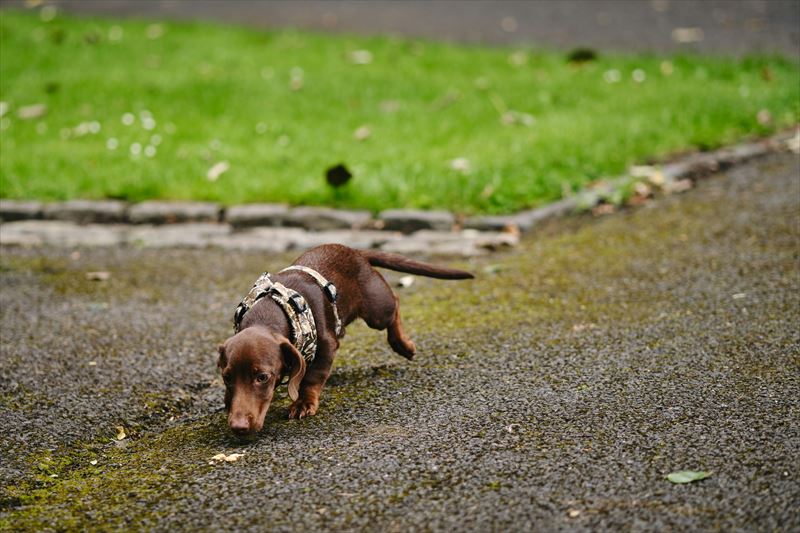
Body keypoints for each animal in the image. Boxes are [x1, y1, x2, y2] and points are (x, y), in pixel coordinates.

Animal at [216, 243, 472, 434]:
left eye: (262, 377)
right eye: (227, 377)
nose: (238, 427)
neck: (273, 310)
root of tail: (357, 252)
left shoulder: (326, 347)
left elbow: (312, 378)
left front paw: (303, 403)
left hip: (377, 311)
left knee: (395, 303)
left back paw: (403, 344)